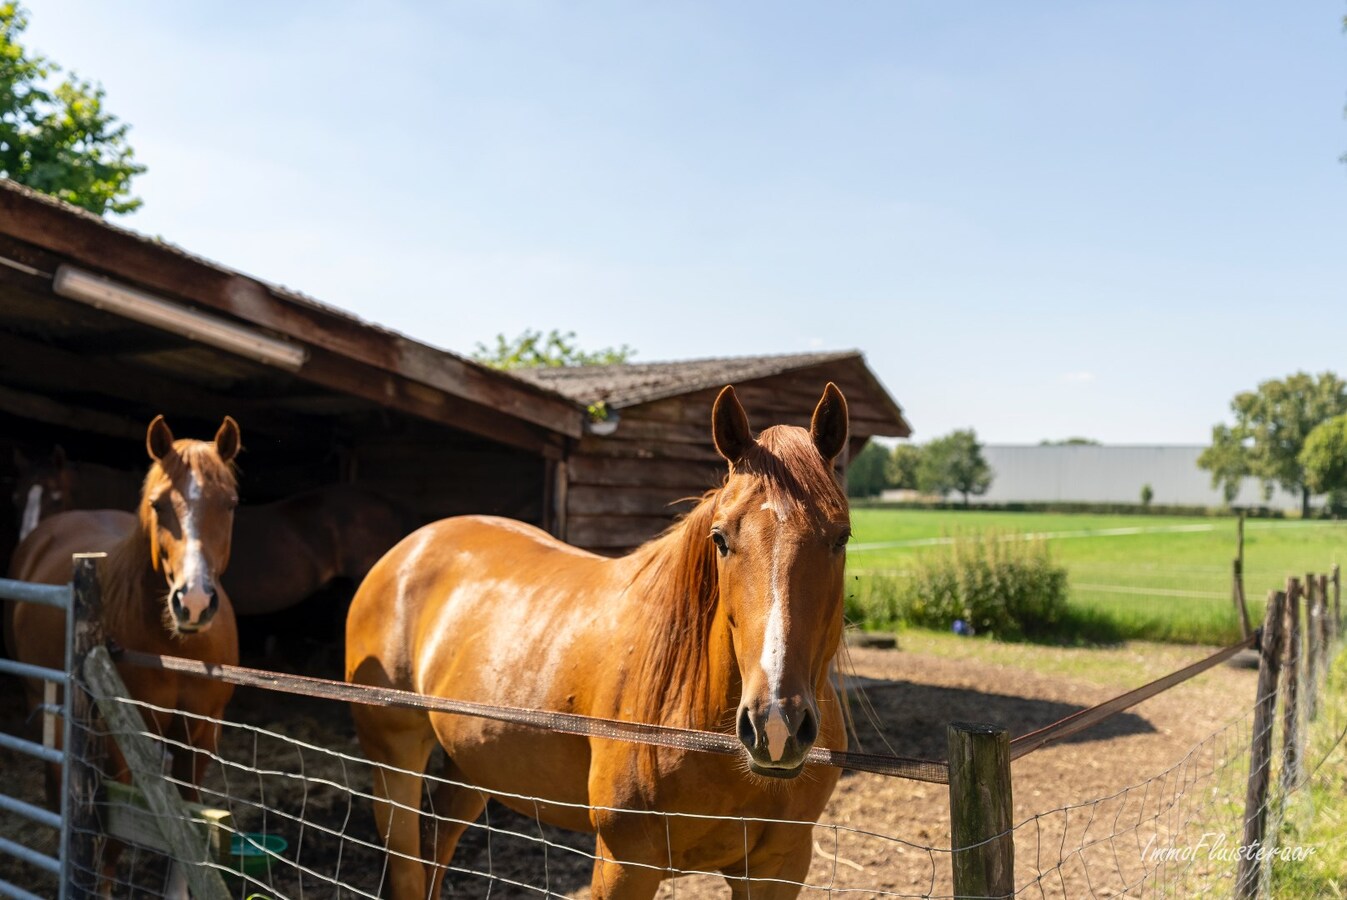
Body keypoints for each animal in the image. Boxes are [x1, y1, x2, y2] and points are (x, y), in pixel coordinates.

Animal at [5, 417, 241, 894]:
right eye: (157, 504)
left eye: (229, 503)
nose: (193, 602)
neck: (178, 648)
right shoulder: (122, 734)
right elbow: (114, 837)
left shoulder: (201, 734)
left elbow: (189, 827)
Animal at [347, 385, 851, 900]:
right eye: (721, 538)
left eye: (841, 537)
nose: (776, 725)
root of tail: (407, 549)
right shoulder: (625, 863)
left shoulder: (777, 869)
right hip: (394, 761)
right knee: (407, 864)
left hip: (471, 764)